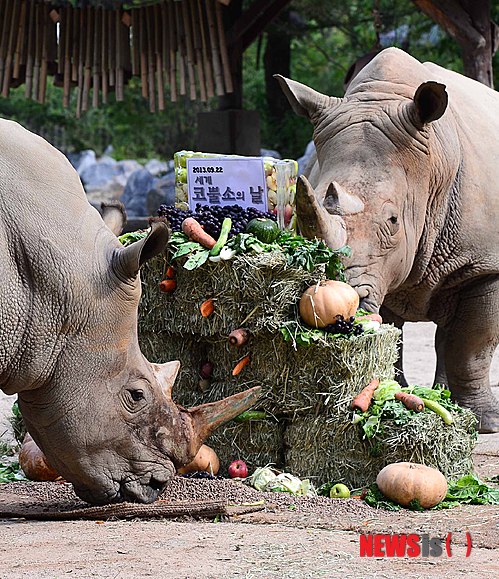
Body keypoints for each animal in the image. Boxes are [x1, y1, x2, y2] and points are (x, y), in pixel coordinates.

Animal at [278, 47, 499, 432]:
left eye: (393, 220)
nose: (348, 300)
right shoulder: (381, 271)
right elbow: (391, 340)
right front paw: (394, 390)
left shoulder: (483, 264)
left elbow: (473, 344)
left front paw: (483, 423)